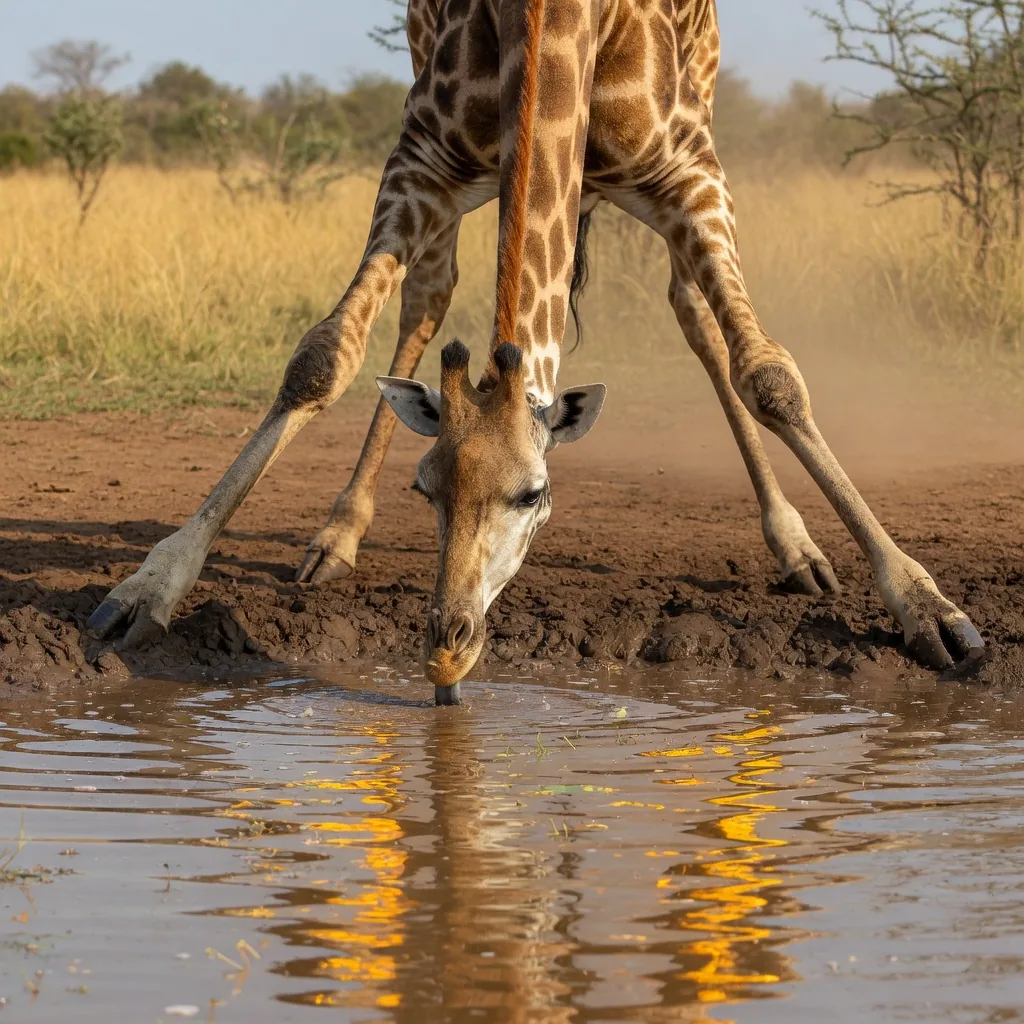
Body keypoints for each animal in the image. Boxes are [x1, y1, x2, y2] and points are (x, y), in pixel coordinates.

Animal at [88, 0, 983, 705]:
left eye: (534, 495)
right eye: (424, 488)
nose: (446, 653)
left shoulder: (692, 174)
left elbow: (769, 377)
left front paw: (931, 610)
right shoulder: (420, 160)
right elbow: (321, 357)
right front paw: (146, 589)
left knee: (697, 317)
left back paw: (796, 547)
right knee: (426, 298)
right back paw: (337, 534)